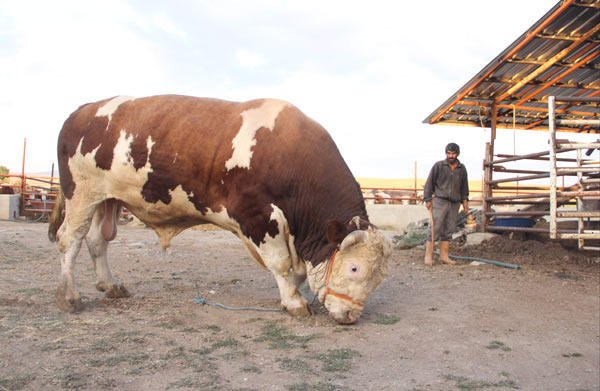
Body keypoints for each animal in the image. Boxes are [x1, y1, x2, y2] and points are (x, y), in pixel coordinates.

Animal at [49, 95, 392, 324]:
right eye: (354, 268)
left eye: (379, 278)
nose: (350, 315)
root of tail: (83, 110)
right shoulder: (257, 216)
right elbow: (282, 264)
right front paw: (294, 301)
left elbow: (295, 270)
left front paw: (289, 295)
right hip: (81, 194)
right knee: (70, 240)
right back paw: (68, 297)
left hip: (106, 200)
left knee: (98, 241)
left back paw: (111, 286)